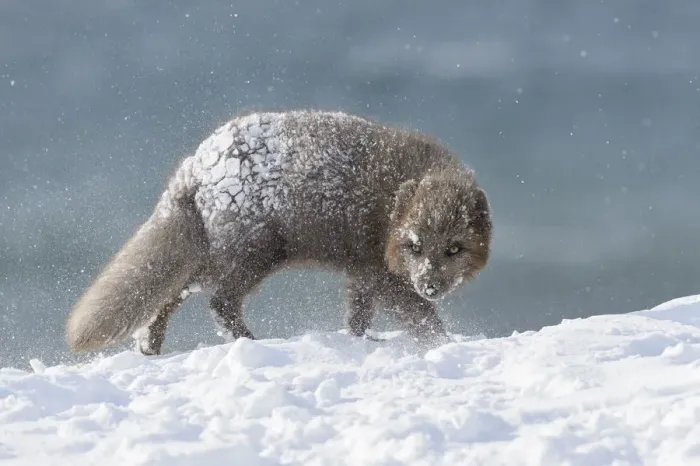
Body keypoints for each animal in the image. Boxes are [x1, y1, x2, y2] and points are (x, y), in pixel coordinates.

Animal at [66, 109, 493, 355]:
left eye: (454, 249)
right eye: (415, 246)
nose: (429, 285)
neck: (388, 209)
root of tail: (197, 163)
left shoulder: (363, 273)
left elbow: (357, 316)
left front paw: (361, 341)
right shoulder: (383, 275)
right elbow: (423, 320)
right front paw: (444, 347)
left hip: (219, 254)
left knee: (175, 293)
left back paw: (149, 345)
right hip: (253, 254)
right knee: (217, 303)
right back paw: (252, 345)